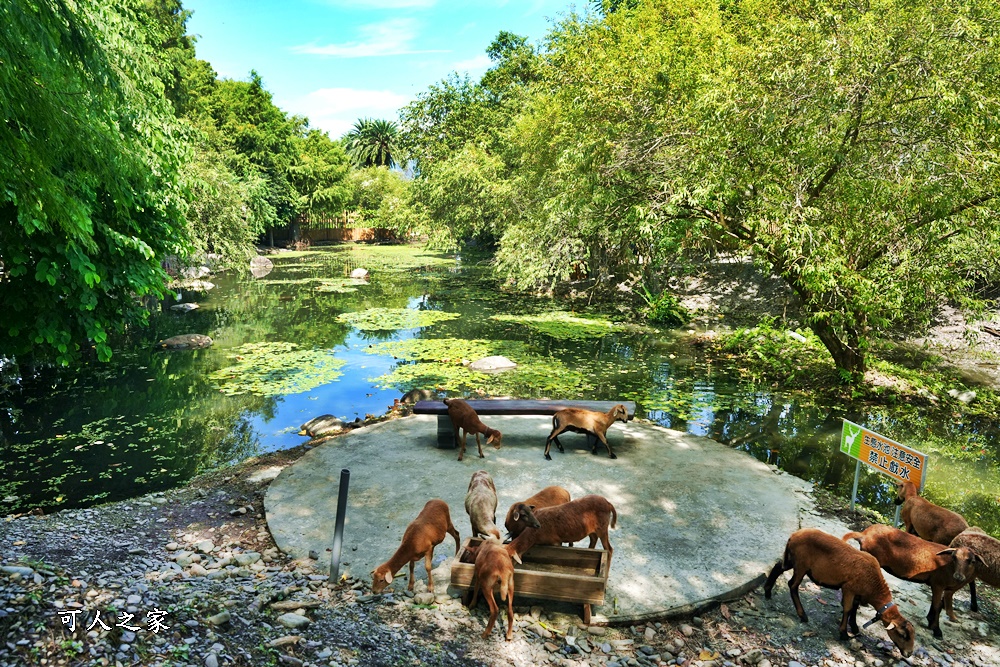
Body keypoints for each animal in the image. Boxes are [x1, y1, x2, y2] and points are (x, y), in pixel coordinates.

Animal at [764, 528, 916, 660]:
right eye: (902, 635)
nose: (909, 654)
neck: (874, 586)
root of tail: (794, 535)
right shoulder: (849, 588)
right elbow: (848, 609)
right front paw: (844, 633)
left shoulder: (858, 593)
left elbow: (854, 609)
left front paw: (854, 627)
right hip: (801, 564)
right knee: (792, 585)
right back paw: (802, 615)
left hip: (792, 559)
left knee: (778, 566)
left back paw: (767, 591)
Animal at [844, 524, 984, 640]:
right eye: (954, 557)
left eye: (972, 561)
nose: (958, 576)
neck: (949, 566)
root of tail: (864, 534)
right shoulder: (938, 584)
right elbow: (937, 606)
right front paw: (937, 630)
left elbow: (936, 606)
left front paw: (930, 622)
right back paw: (854, 626)